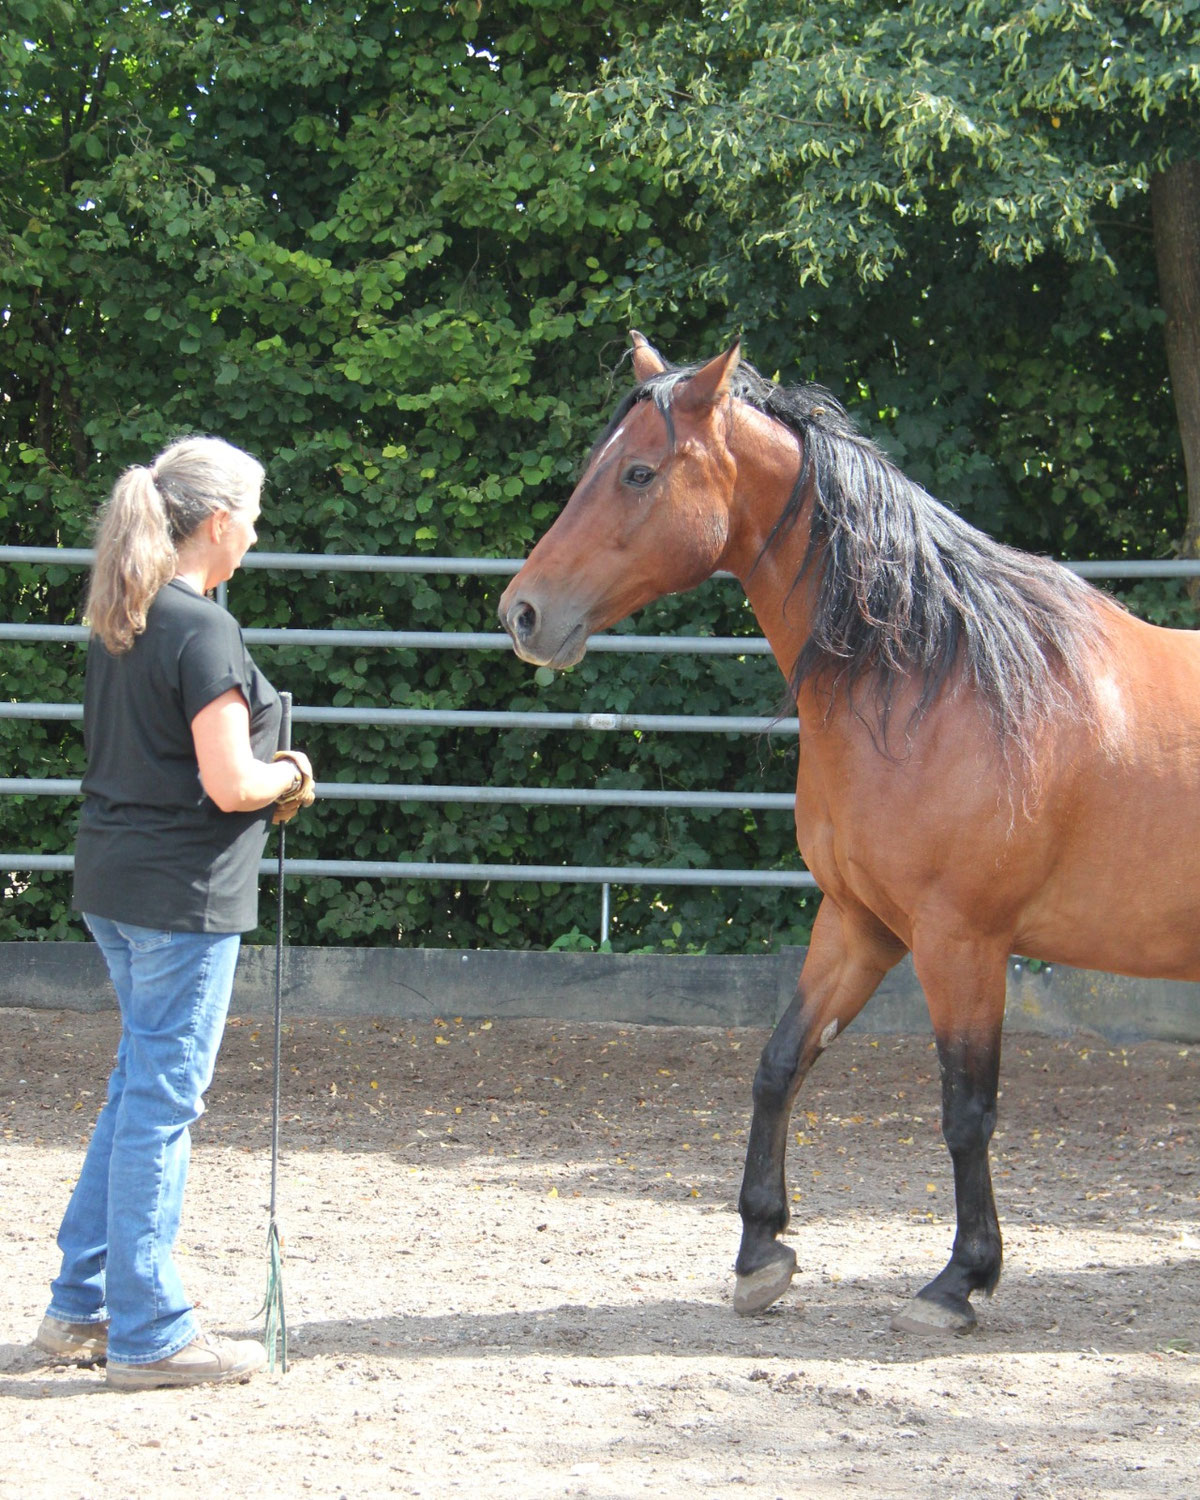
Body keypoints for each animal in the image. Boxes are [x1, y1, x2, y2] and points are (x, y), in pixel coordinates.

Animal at [498, 332, 1200, 1335]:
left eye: (637, 472)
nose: (522, 612)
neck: (937, 677)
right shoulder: (858, 924)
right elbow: (779, 1063)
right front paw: (760, 1251)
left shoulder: (961, 943)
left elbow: (966, 1110)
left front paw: (961, 1280)